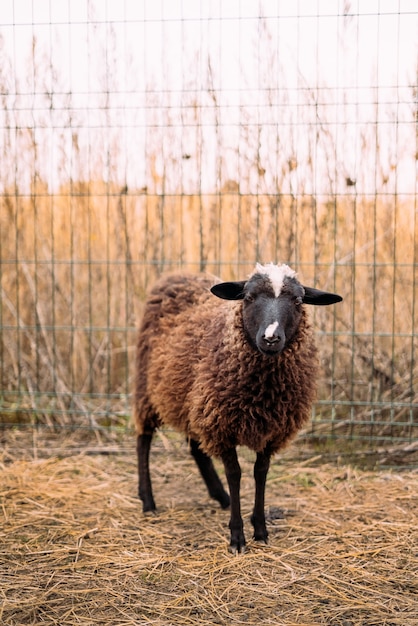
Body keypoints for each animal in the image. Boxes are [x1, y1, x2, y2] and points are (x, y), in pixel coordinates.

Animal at [135, 264, 342, 552]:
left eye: (298, 301)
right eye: (249, 297)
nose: (270, 338)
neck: (264, 392)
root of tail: (178, 274)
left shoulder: (272, 430)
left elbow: (260, 473)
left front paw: (260, 529)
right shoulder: (223, 425)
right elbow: (235, 474)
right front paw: (237, 536)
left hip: (191, 399)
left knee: (195, 447)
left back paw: (221, 496)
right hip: (147, 388)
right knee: (143, 440)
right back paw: (148, 501)